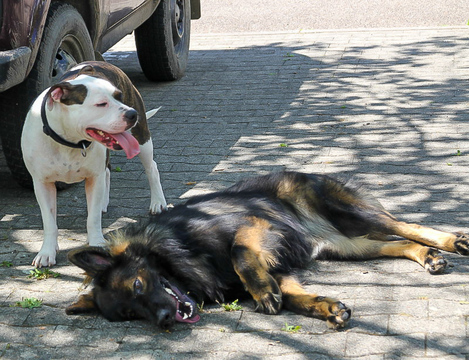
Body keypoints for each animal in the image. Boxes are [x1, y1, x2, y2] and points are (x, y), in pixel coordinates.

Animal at [23, 61, 168, 268]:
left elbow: (92, 219)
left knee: (151, 169)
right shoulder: (42, 183)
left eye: (119, 96)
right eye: (101, 104)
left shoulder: (93, 178)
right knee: (107, 171)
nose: (132, 113)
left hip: (142, 139)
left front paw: (97, 245)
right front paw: (47, 251)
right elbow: (49, 221)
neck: (69, 141)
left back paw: (157, 202)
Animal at [66, 172, 468, 330]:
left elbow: (240, 253)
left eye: (138, 285)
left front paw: (261, 291)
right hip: (349, 247)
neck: (174, 246)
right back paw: (429, 257)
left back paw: (452, 242)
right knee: (401, 243)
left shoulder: (255, 227)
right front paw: (325, 307)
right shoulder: (276, 266)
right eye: (129, 315)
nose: (164, 319)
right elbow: (294, 296)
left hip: (351, 215)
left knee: (406, 226)